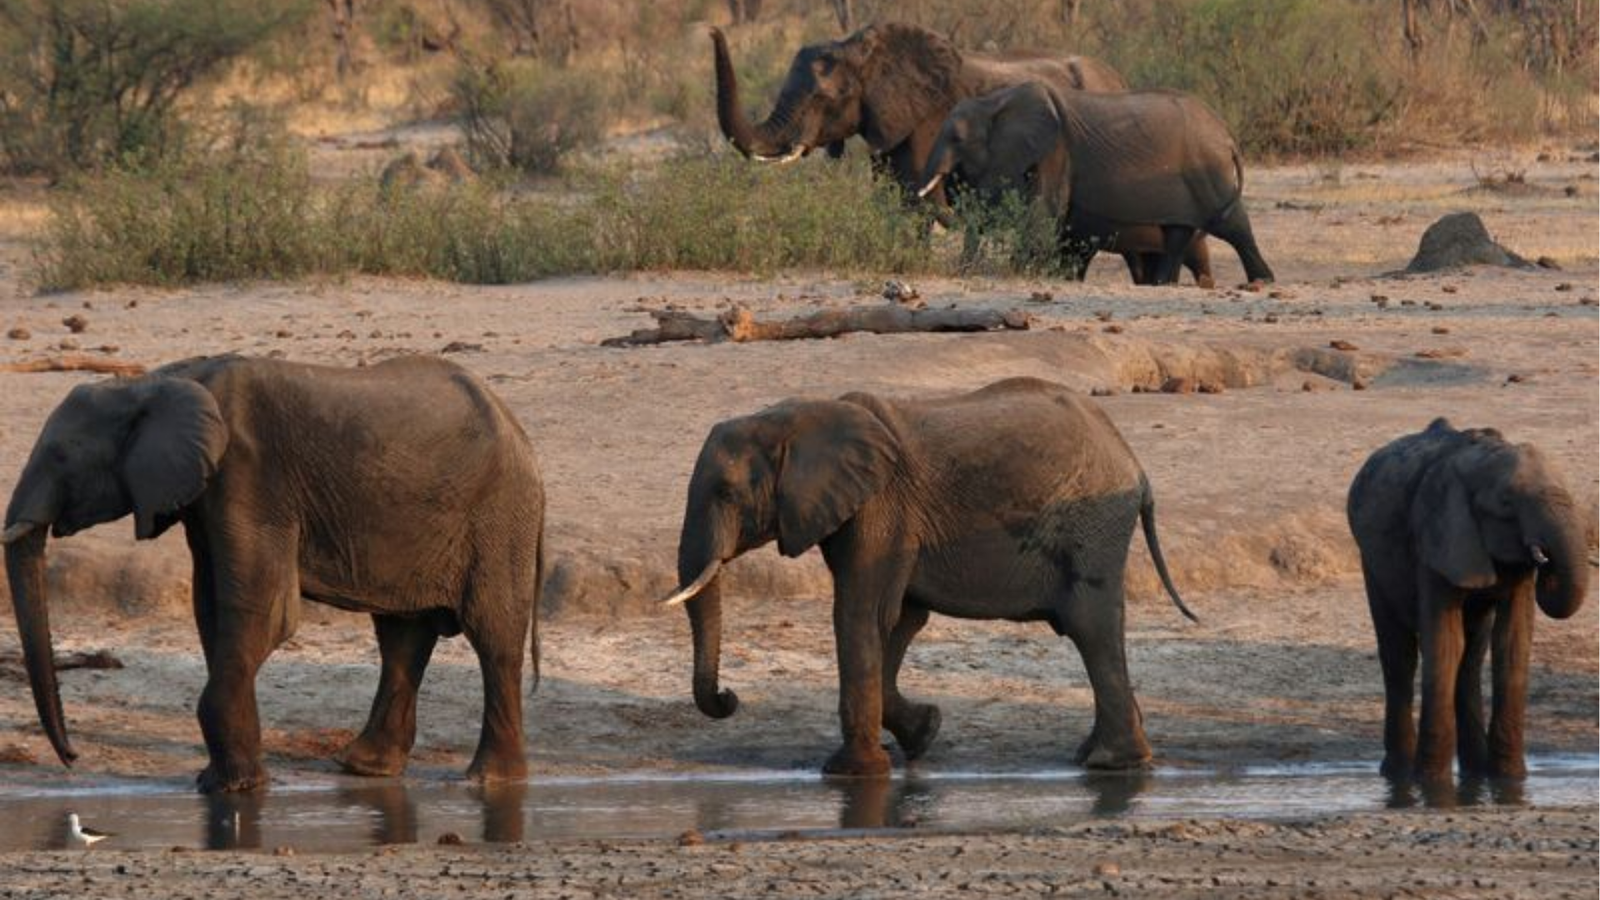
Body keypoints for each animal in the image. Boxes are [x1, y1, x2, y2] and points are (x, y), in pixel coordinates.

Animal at [3, 353, 547, 787]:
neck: (159, 380)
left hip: (499, 516)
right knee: (402, 636)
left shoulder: (249, 477)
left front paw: (232, 789)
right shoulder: (207, 494)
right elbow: (212, 608)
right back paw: (365, 768)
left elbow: (264, 611)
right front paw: (223, 780)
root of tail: (518, 429)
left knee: (493, 637)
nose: (72, 757)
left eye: (60, 456)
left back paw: (490, 780)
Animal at [656, 374, 1196, 775]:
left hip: (1093, 526)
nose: (729, 697)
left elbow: (861, 615)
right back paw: (1100, 756)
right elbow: (900, 620)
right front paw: (925, 732)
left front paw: (851, 772)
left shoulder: (880, 509)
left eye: (726, 492)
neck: (796, 417)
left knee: (1090, 625)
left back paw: (1109, 762)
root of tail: (1134, 462)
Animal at [915, 81, 1273, 283]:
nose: (961, 271)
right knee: (1178, 233)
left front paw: (1019, 273)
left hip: (1208, 172)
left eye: (957, 138)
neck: (994, 101)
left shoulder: (1056, 150)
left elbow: (1043, 213)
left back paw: (1262, 280)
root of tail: (1226, 134)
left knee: (1232, 224)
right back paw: (1163, 284)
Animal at [1350, 419, 1587, 778]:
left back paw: (1474, 772)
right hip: (1373, 563)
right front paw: (1432, 782)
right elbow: (1445, 642)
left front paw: (1509, 779)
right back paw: (1399, 773)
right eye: (1506, 502)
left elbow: (1512, 642)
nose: (1548, 562)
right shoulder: (1436, 538)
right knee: (1400, 656)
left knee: (1472, 656)